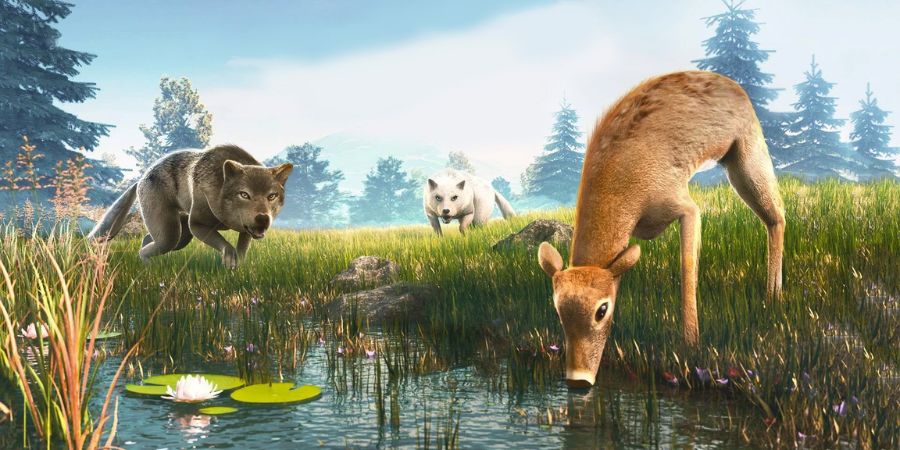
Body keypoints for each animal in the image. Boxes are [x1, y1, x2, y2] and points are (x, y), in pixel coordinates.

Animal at [88, 145, 293, 269]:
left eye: (272, 196)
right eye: (244, 194)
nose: (263, 218)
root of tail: (140, 179)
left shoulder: (247, 229)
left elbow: (242, 247)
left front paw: (239, 265)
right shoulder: (197, 225)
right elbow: (225, 245)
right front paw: (230, 259)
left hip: (181, 235)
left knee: (147, 238)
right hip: (171, 234)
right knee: (151, 246)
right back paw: (147, 266)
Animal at [537, 71, 785, 387]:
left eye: (602, 310)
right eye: (557, 308)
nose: (578, 380)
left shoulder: (683, 205)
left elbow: (687, 265)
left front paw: (691, 344)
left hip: (746, 151)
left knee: (777, 214)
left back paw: (772, 297)